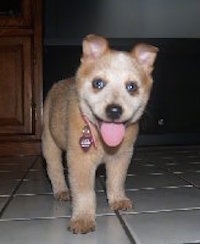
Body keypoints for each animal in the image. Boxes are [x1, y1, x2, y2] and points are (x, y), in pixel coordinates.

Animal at [41, 34, 158, 234]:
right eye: (98, 83)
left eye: (132, 86)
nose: (114, 110)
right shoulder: (80, 160)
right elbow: (84, 193)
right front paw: (83, 219)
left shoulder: (121, 157)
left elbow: (116, 180)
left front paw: (118, 199)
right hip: (49, 143)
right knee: (54, 169)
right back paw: (61, 190)